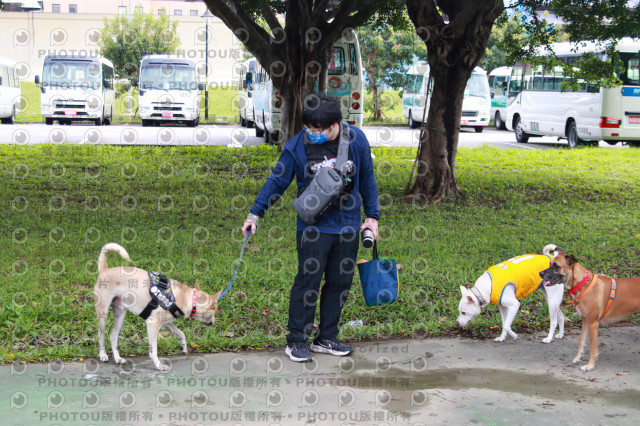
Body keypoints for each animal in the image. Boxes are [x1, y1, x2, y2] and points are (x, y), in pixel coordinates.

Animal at [92, 243, 222, 370]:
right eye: (214, 311)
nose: (214, 322)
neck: (188, 298)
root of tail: (104, 270)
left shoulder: (165, 323)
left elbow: (180, 333)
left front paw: (184, 346)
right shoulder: (153, 324)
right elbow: (153, 351)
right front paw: (159, 366)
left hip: (120, 315)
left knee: (113, 336)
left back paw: (118, 358)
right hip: (103, 314)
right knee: (100, 335)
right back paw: (103, 354)